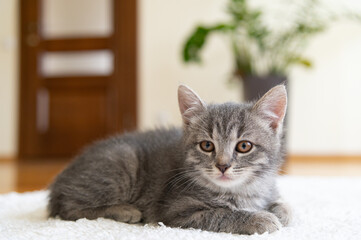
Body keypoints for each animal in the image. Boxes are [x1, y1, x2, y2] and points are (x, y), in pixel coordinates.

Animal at [48, 84, 290, 234]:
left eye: (244, 146)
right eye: (207, 146)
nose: (222, 165)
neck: (242, 192)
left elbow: (285, 206)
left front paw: (280, 211)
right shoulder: (177, 211)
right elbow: (221, 214)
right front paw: (259, 218)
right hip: (124, 160)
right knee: (67, 209)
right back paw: (124, 210)